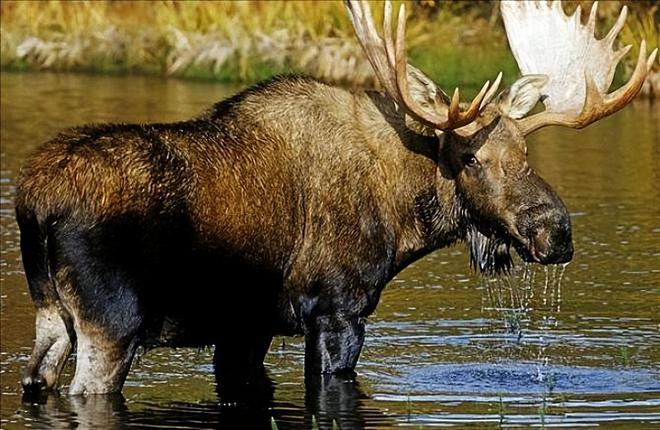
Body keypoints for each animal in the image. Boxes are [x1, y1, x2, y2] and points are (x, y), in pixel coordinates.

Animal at [15, 0, 656, 396]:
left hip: (51, 313)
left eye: (526, 151)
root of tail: (34, 198)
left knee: (35, 380)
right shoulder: (336, 309)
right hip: (111, 323)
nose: (556, 231)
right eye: (471, 158)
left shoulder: (247, 326)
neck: (401, 221)